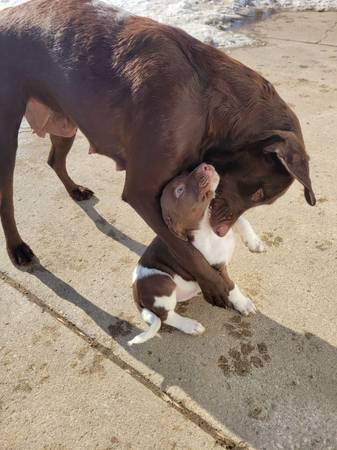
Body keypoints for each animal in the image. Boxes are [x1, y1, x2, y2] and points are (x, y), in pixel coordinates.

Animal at [0, 0, 316, 308]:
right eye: (258, 193)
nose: (221, 231)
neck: (208, 102)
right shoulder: (143, 193)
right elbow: (187, 251)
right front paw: (216, 287)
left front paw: (249, 241)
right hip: (8, 131)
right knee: (7, 197)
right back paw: (18, 248)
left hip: (64, 119)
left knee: (54, 159)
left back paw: (74, 189)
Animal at [127, 163, 262, 346]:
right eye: (180, 190)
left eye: (185, 172)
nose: (204, 165)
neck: (206, 227)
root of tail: (135, 289)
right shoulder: (216, 268)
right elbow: (231, 286)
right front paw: (243, 303)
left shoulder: (221, 223)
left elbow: (241, 220)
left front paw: (254, 242)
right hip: (162, 282)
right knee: (166, 316)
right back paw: (190, 326)